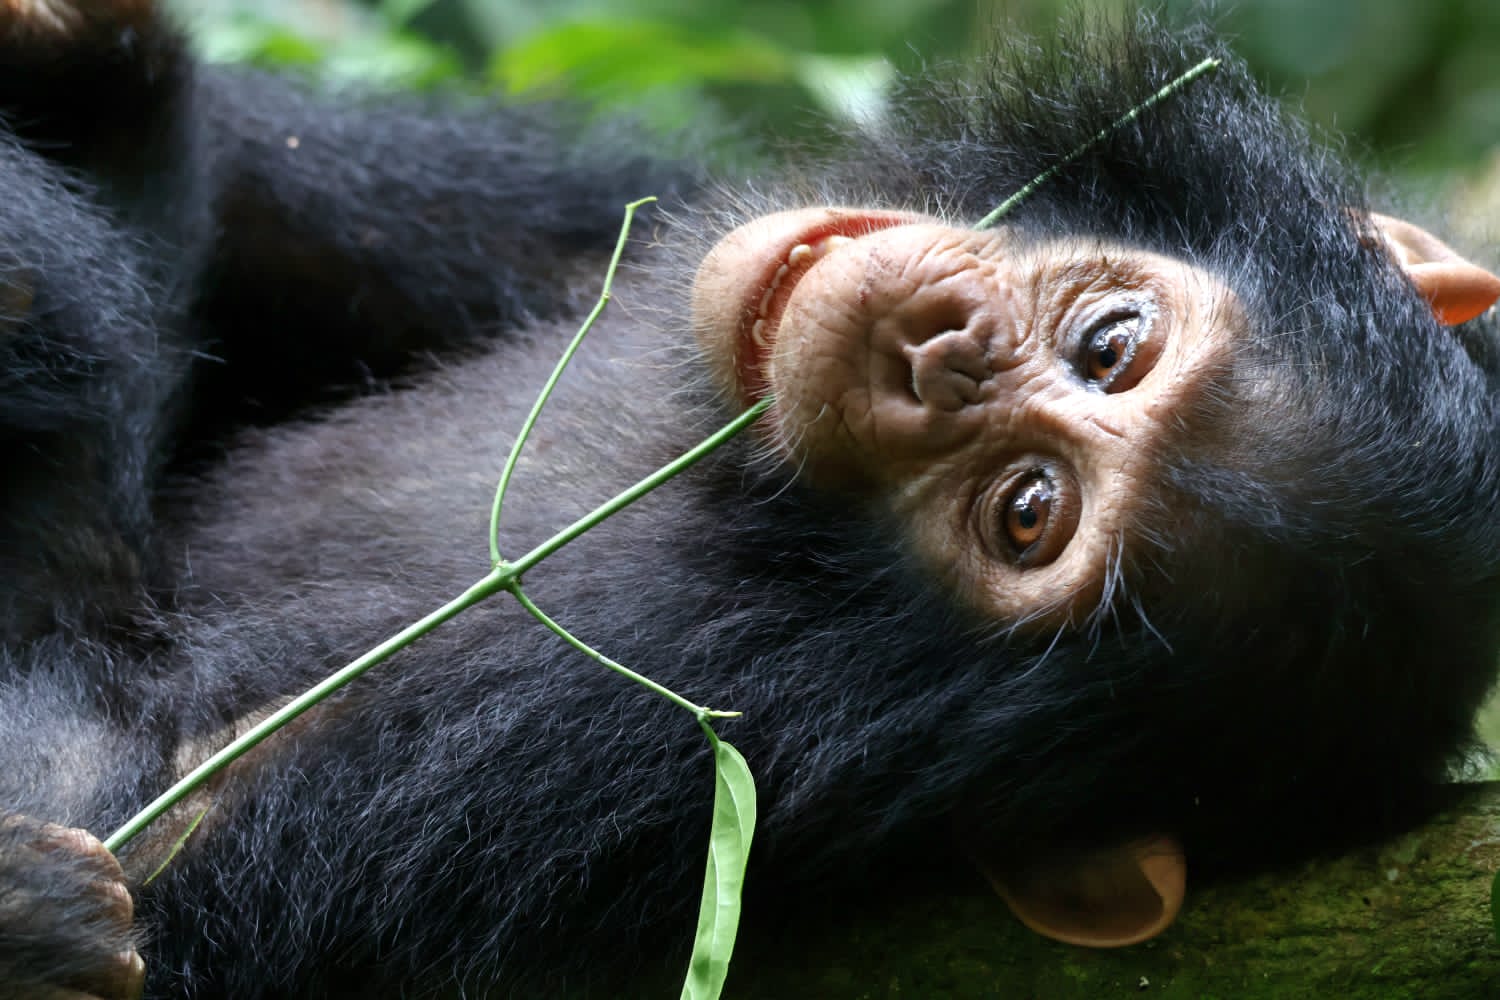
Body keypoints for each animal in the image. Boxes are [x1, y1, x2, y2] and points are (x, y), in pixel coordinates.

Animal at [0, 2, 1498, 997]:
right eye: (1114, 344)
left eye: (1025, 511)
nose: (937, 358)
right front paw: (100, 63)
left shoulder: (616, 745)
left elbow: (149, 800)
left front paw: (36, 905)